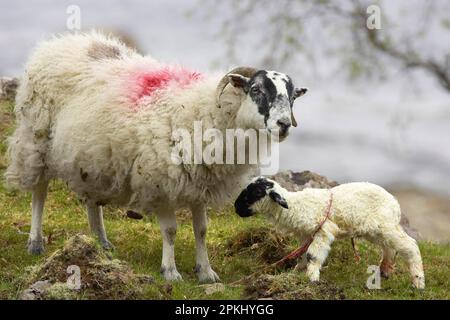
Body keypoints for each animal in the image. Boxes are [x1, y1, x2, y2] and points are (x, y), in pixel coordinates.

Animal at [4, 32, 310, 282]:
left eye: (292, 97)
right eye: (256, 90)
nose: (284, 124)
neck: (207, 111)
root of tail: (61, 42)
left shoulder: (200, 183)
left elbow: (201, 230)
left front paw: (206, 272)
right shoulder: (160, 180)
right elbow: (171, 230)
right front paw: (170, 272)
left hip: (93, 155)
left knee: (92, 199)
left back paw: (100, 243)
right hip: (37, 138)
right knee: (39, 192)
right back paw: (35, 242)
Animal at [236, 176, 426, 288]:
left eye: (256, 193)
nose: (236, 208)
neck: (296, 207)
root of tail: (394, 203)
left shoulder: (324, 231)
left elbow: (312, 255)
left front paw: (312, 278)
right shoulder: (307, 235)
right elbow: (303, 255)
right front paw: (296, 272)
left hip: (385, 226)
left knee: (410, 246)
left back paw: (418, 283)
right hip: (376, 231)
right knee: (389, 248)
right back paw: (385, 270)